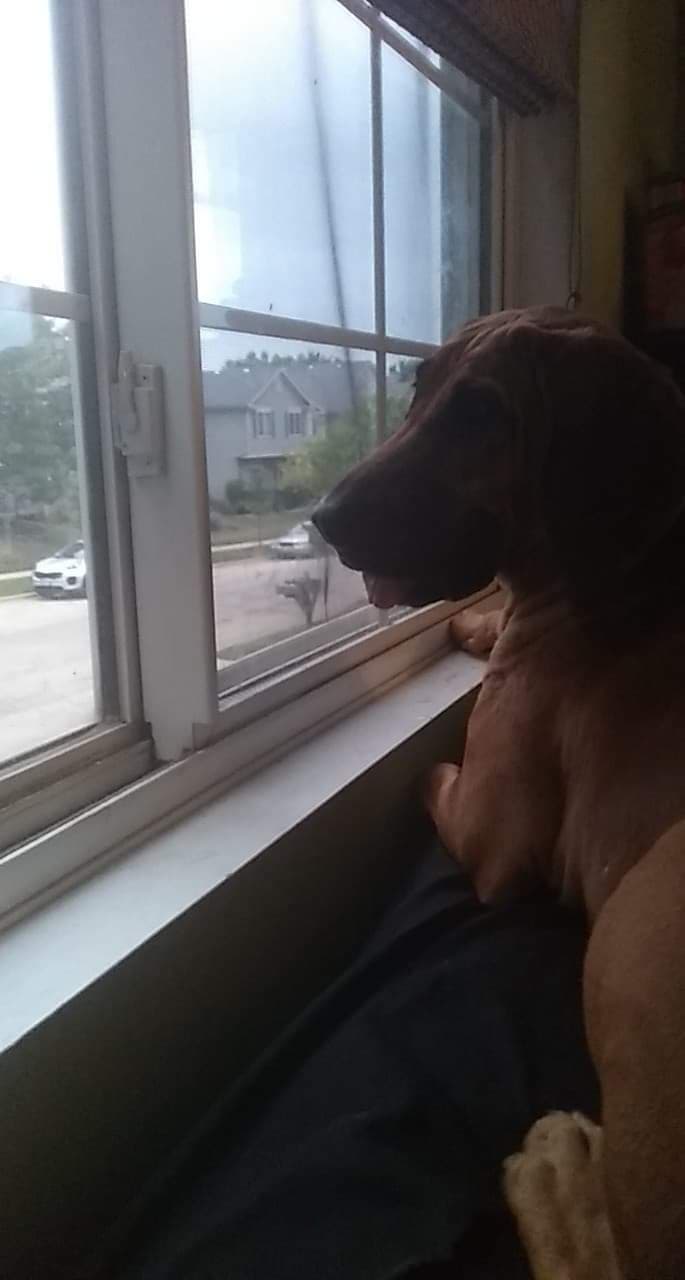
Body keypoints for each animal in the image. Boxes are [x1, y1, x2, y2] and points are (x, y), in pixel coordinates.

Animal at [312, 306, 685, 1280]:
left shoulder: (492, 835)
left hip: (636, 916)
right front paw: (474, 624)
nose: (322, 518)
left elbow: (425, 775)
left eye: (481, 413)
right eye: (418, 388)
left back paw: (553, 1166)